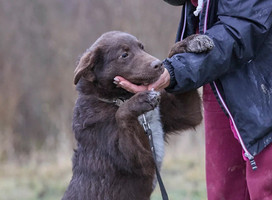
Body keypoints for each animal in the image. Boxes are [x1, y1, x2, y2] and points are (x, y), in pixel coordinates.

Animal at [62, 31, 214, 200]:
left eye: (142, 47)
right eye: (124, 55)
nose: (159, 65)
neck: (118, 98)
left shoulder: (185, 113)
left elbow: (172, 54)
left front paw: (192, 41)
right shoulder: (138, 160)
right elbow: (121, 114)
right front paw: (140, 100)